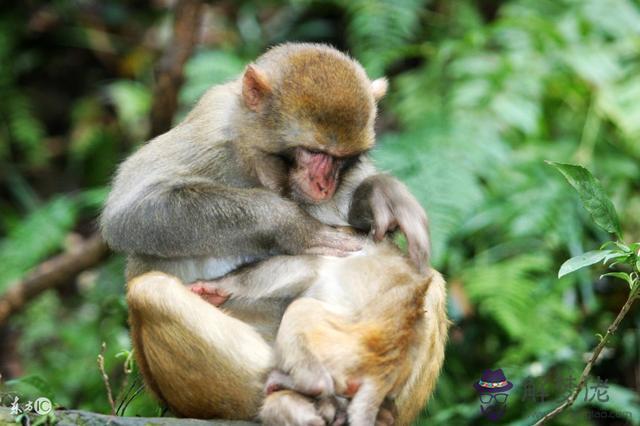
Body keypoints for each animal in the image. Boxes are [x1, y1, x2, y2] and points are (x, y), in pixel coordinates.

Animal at [104, 43, 444, 422]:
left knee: (430, 284)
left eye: (341, 158)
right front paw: (293, 226)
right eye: (313, 152)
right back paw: (291, 399)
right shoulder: (212, 123)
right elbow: (130, 212)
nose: (324, 185)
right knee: (150, 292)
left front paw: (382, 195)